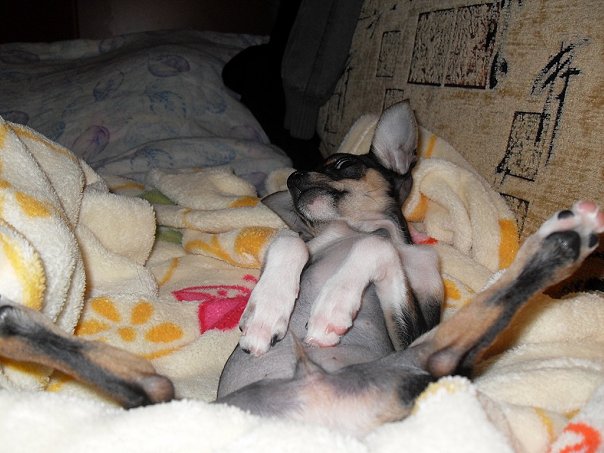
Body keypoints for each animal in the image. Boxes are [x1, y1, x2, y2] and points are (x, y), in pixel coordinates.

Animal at [216, 101, 604, 436]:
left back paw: (566, 239)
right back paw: (565, 239)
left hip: (407, 358)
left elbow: (379, 246)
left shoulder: (416, 316)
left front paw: (333, 306)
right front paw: (265, 315)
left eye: (342, 165)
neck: (356, 228)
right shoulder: (311, 244)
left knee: (458, 339)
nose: (293, 178)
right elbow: (290, 240)